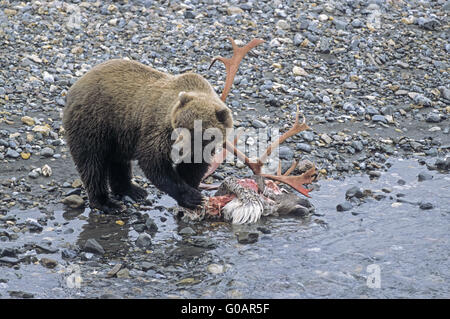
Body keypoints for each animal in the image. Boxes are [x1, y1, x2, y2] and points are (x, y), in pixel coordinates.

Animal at [62, 58, 232, 214]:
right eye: (178, 126)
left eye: (196, 131)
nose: (178, 149)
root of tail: (75, 86)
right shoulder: (158, 128)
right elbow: (154, 162)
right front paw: (193, 197)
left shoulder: (202, 148)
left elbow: (193, 167)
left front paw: (192, 192)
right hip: (94, 122)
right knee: (92, 163)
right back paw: (107, 202)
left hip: (118, 133)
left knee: (117, 161)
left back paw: (132, 190)